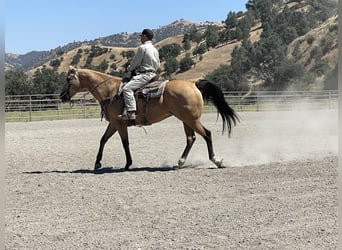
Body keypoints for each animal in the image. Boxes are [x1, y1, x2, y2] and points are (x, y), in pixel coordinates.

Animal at [59, 65, 240, 170]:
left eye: (68, 79)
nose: (62, 96)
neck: (110, 90)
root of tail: (193, 83)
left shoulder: (120, 123)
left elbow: (125, 143)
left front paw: (128, 164)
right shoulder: (114, 124)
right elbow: (103, 139)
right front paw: (97, 163)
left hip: (192, 119)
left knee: (206, 134)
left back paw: (217, 161)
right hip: (186, 119)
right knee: (191, 138)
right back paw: (179, 163)